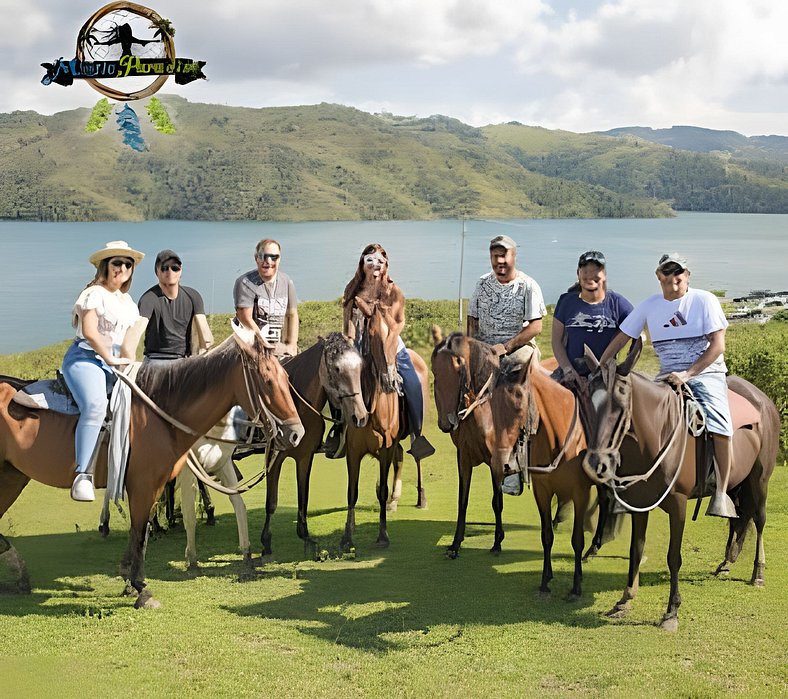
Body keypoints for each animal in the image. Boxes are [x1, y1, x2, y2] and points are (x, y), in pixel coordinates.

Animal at [0, 326, 304, 608]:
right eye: (267, 381)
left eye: (287, 378)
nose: (295, 434)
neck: (157, 414)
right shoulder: (145, 484)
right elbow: (139, 532)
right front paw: (140, 588)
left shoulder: (155, 484)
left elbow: (143, 530)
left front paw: (128, 577)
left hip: (12, 476)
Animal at [260, 334, 368, 556]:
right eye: (336, 368)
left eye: (360, 367)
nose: (360, 417)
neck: (297, 408)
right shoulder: (274, 457)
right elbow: (271, 502)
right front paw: (266, 542)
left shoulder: (304, 456)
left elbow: (304, 497)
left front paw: (306, 536)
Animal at [580, 342, 780, 632]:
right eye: (588, 401)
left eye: (619, 404)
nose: (597, 462)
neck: (657, 435)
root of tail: (763, 400)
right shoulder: (639, 504)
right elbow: (635, 550)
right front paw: (624, 600)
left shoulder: (678, 504)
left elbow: (673, 556)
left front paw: (671, 611)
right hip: (735, 483)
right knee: (738, 519)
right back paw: (726, 562)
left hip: (760, 479)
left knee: (760, 519)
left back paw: (758, 572)